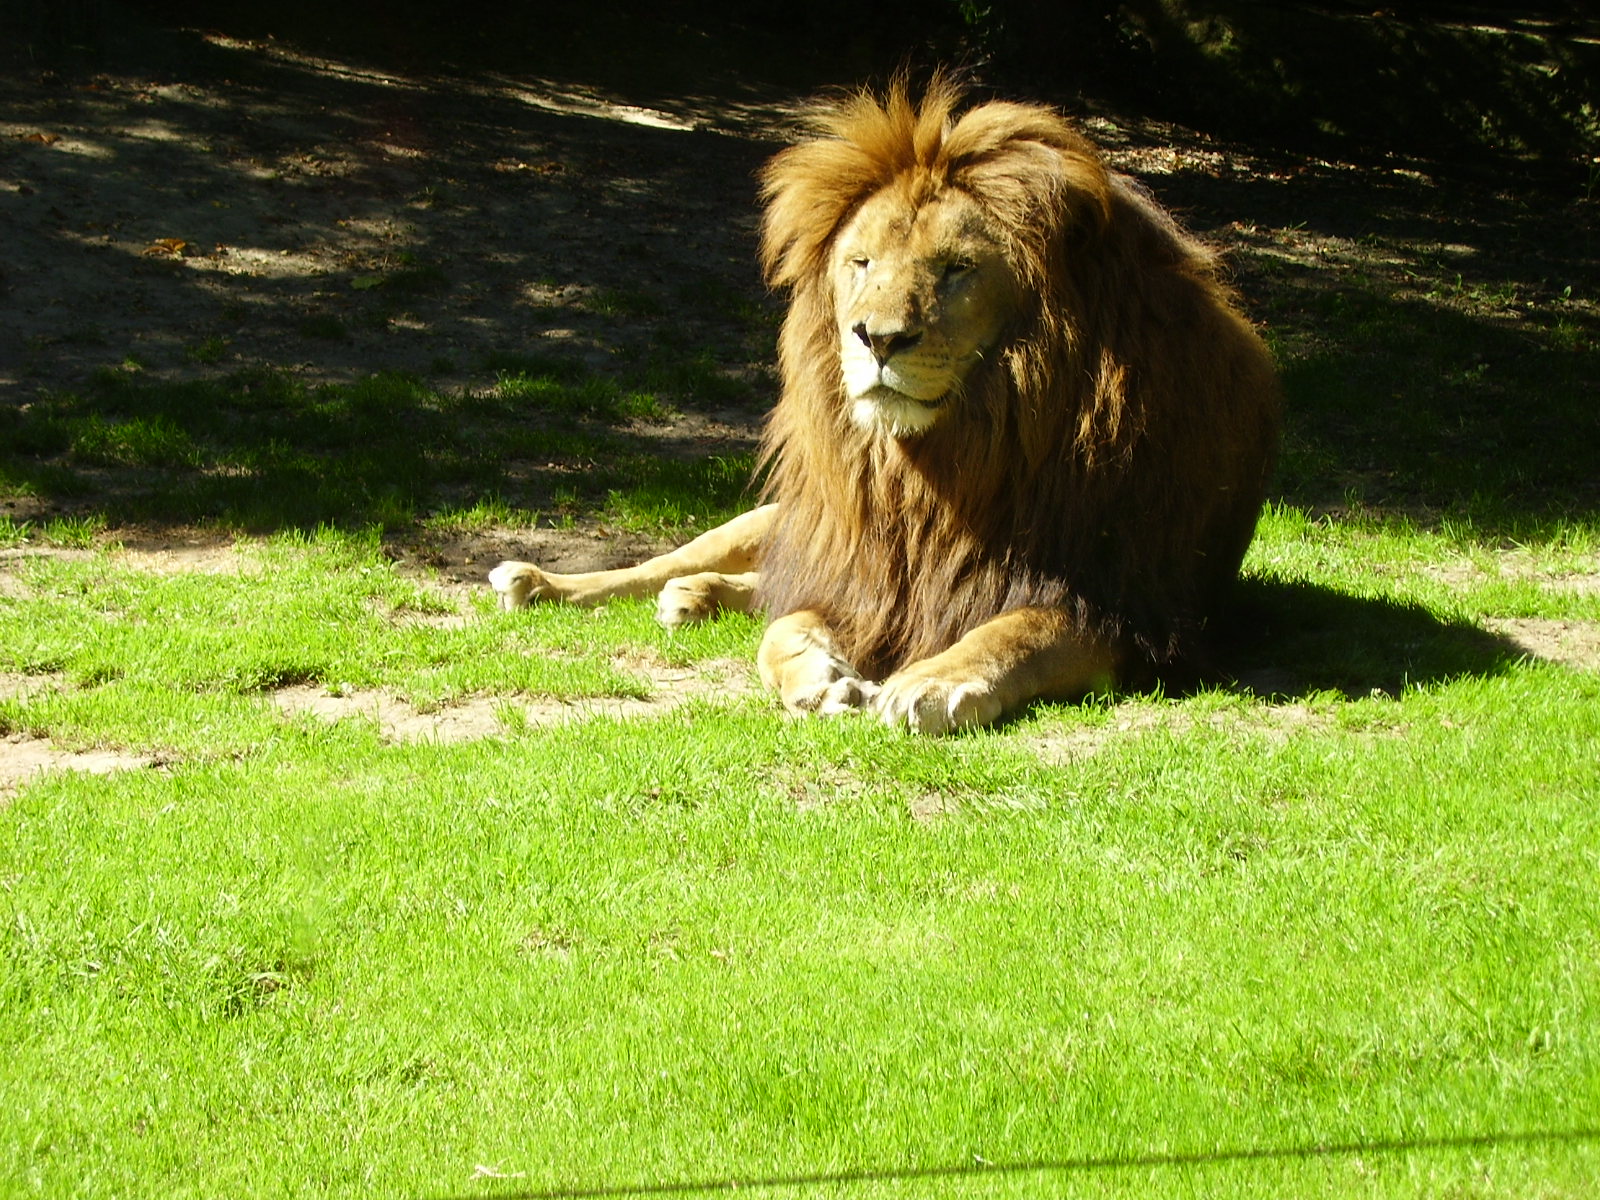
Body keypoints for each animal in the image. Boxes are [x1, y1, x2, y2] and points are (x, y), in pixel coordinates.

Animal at [490, 78, 1280, 734]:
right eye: (861, 262)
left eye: (958, 269)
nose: (877, 337)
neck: (940, 466)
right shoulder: (862, 573)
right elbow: (782, 628)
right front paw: (818, 679)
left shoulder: (1127, 607)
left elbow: (1017, 631)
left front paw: (934, 681)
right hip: (783, 518)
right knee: (672, 561)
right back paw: (546, 582)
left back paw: (695, 596)